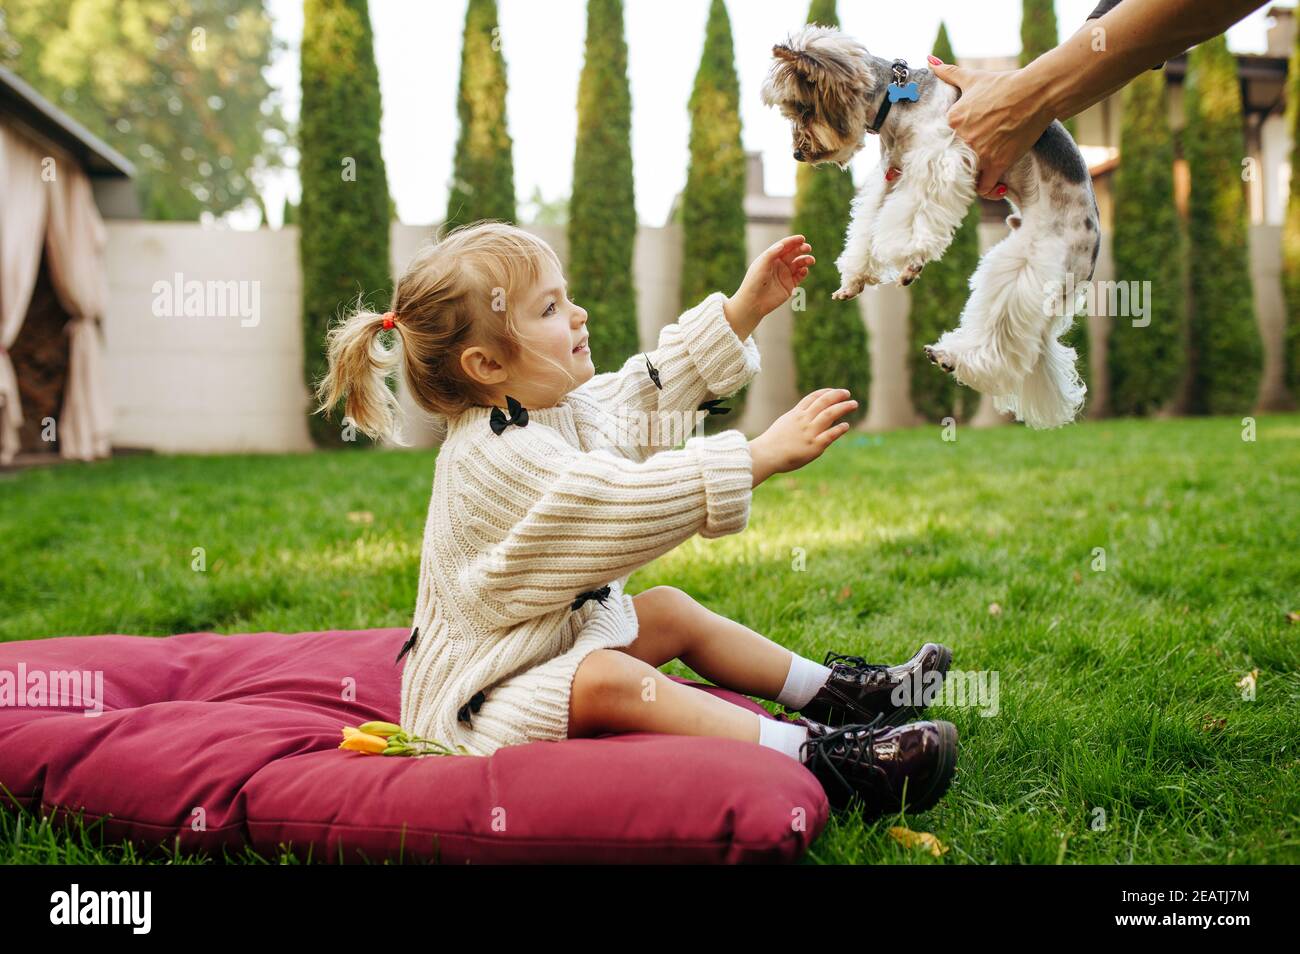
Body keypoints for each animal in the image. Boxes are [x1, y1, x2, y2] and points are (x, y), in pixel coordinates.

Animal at [759, 23, 1097, 428]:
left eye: (804, 109)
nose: (798, 153)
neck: (894, 101)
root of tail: (1091, 255)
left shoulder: (939, 156)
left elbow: (913, 212)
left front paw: (909, 257)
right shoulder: (892, 172)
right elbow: (869, 222)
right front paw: (856, 277)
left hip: (1039, 261)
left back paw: (953, 358)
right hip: (1012, 262)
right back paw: (951, 355)